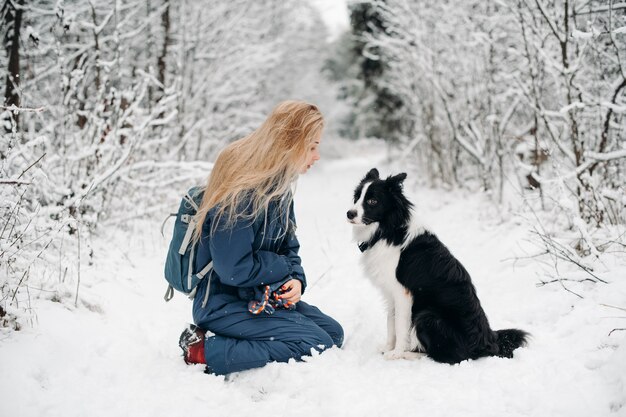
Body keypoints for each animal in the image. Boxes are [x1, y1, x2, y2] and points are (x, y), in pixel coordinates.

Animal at [346, 167, 528, 362]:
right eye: (356, 197)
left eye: (372, 201)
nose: (349, 213)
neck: (388, 229)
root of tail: (487, 344)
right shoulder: (390, 293)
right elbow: (391, 323)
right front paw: (388, 348)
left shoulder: (403, 293)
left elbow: (400, 326)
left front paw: (396, 353)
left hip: (427, 316)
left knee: (450, 356)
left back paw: (410, 354)